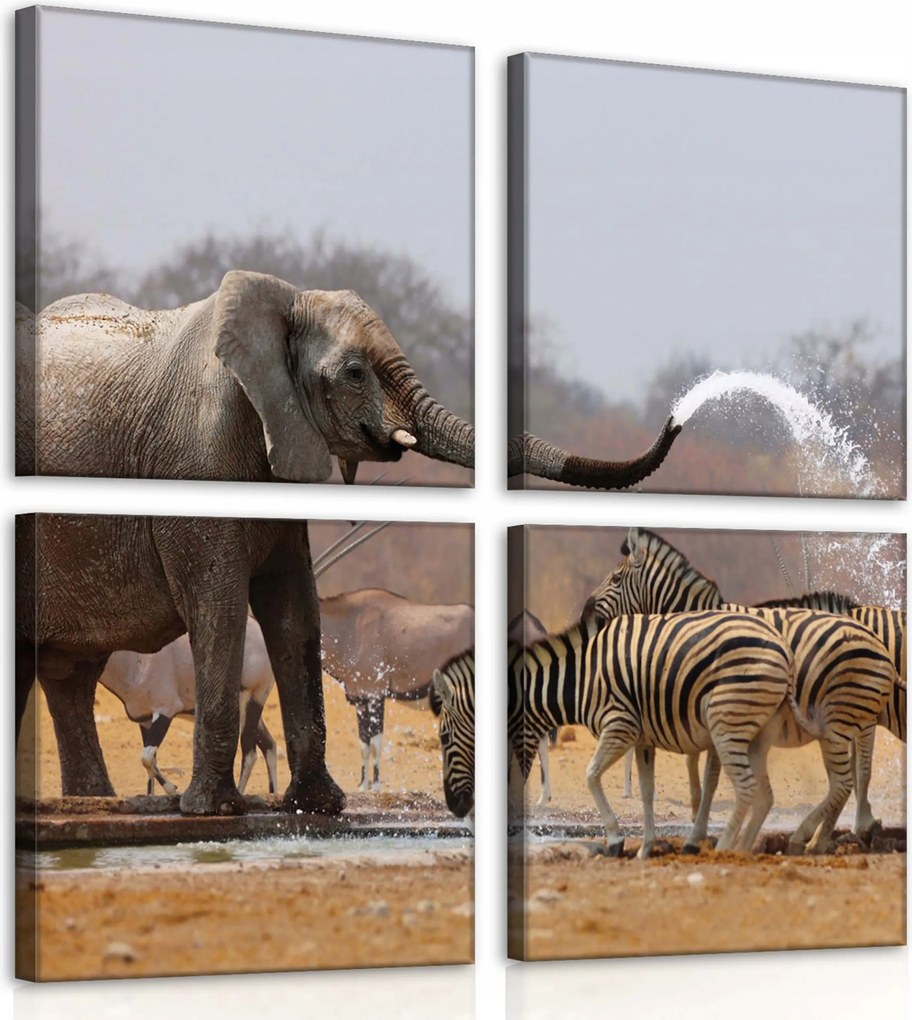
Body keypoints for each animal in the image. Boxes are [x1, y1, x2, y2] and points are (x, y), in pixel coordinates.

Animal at [509, 609, 794, 858]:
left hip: (726, 724)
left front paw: (616, 840)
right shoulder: (642, 740)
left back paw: (723, 849)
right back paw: (741, 848)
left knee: (747, 788)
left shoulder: (620, 725)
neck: (583, 678)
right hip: (755, 732)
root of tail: (781, 644)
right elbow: (646, 791)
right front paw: (645, 849)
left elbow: (591, 775)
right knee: (763, 795)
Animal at [587, 527, 902, 848]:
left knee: (855, 773)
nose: (587, 612)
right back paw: (831, 834)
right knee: (851, 774)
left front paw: (698, 831)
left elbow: (710, 775)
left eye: (615, 579)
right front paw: (697, 815)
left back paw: (830, 833)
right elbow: (694, 761)